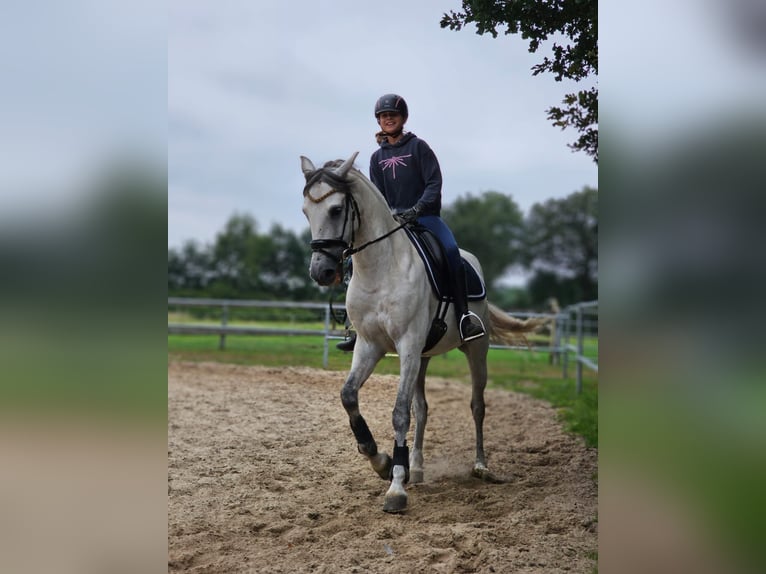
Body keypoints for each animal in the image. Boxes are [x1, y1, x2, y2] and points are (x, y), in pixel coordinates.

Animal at [300, 152, 545, 513]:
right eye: (306, 211)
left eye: (335, 209)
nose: (321, 271)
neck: (380, 269)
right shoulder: (370, 346)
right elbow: (349, 396)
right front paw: (382, 461)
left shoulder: (407, 345)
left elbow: (399, 414)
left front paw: (395, 489)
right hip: (423, 357)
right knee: (423, 408)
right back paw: (415, 467)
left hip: (475, 352)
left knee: (477, 405)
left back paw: (480, 466)